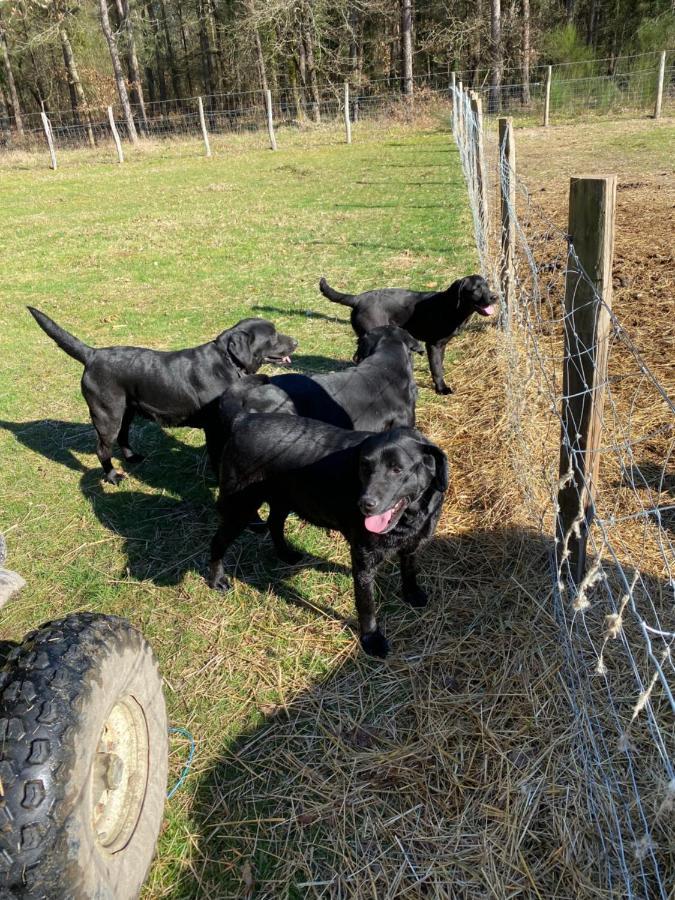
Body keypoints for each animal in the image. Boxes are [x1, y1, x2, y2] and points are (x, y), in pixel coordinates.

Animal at [28, 306, 298, 482]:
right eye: (273, 335)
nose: (296, 342)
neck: (228, 361)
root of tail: (92, 354)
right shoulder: (213, 427)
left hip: (127, 410)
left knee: (123, 437)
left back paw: (132, 457)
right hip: (107, 415)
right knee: (102, 449)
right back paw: (113, 476)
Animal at [209, 412, 446, 656]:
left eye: (397, 469)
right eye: (364, 467)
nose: (365, 504)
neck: (410, 517)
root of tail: (243, 420)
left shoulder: (413, 544)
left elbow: (409, 570)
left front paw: (412, 594)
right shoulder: (363, 561)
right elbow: (367, 605)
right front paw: (371, 639)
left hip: (283, 499)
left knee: (274, 524)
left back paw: (286, 554)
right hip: (241, 508)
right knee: (217, 543)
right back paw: (217, 580)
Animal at [320, 274, 500, 394]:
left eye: (487, 286)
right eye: (476, 289)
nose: (495, 296)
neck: (452, 307)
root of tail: (357, 299)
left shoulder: (442, 345)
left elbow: (439, 364)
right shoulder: (433, 344)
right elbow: (436, 369)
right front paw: (442, 388)